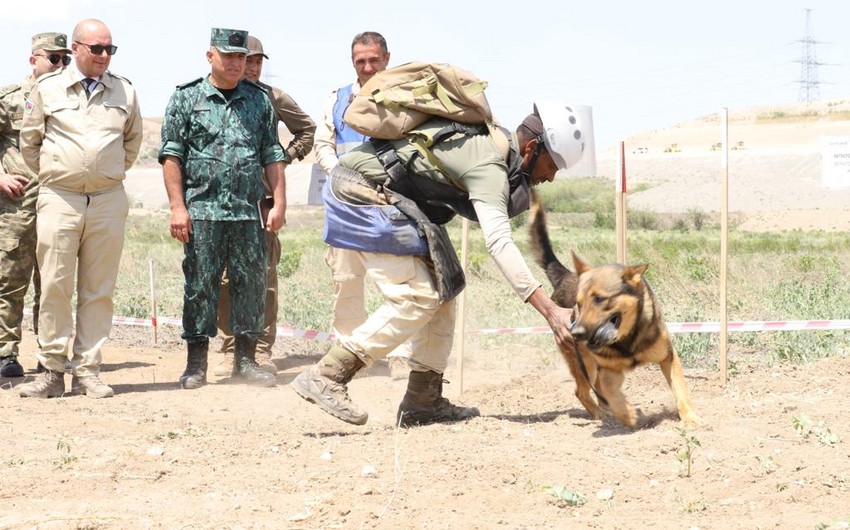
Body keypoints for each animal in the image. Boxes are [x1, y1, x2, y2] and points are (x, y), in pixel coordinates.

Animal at [528, 192, 704, 426]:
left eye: (600, 299)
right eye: (578, 304)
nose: (576, 333)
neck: (627, 342)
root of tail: (566, 275)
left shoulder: (668, 357)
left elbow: (680, 390)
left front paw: (691, 418)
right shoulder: (609, 370)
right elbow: (614, 394)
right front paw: (626, 414)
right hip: (585, 365)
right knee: (581, 391)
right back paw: (600, 414)